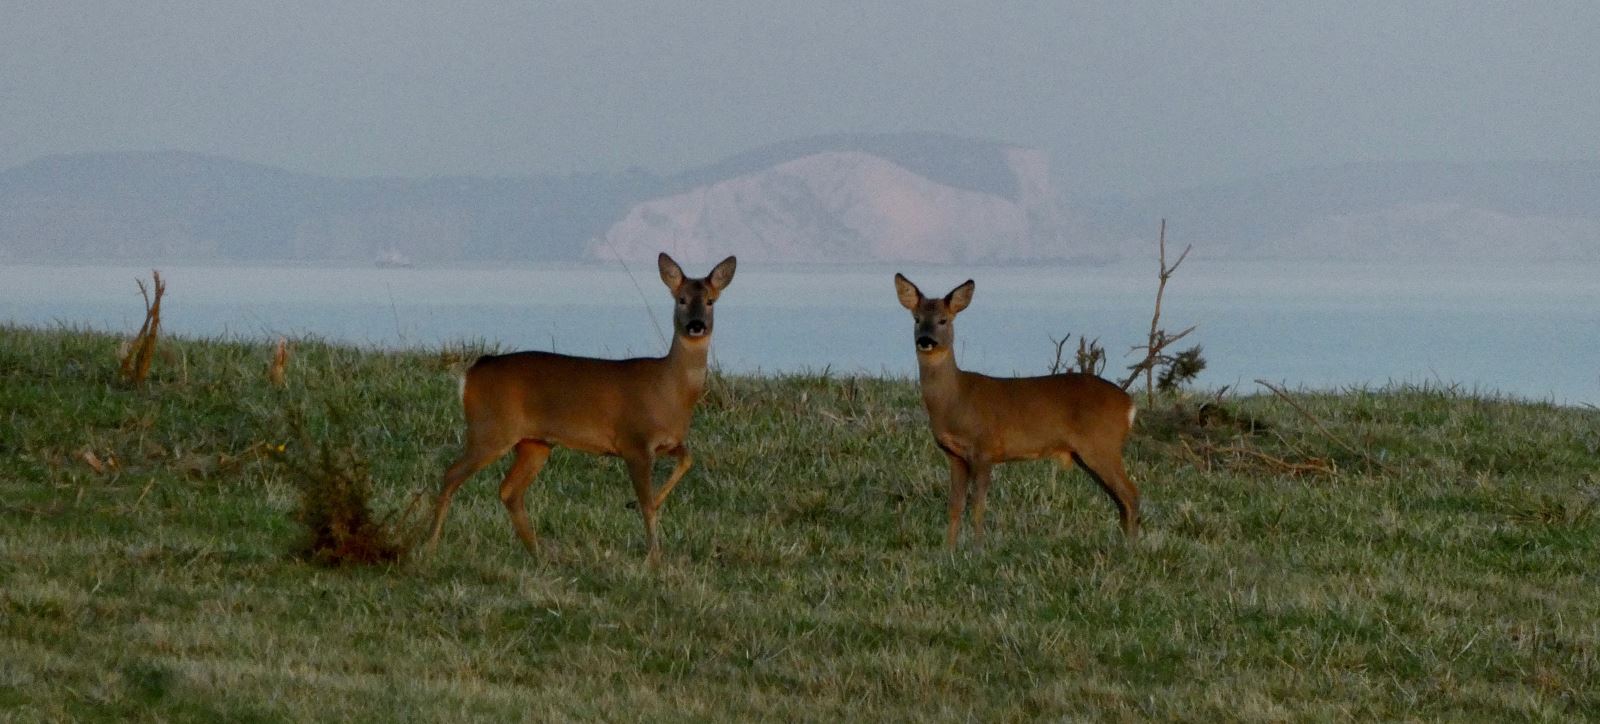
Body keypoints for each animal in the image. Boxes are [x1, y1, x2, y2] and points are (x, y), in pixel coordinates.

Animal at [432, 256, 742, 567]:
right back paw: (427, 543)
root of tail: (471, 374)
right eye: (681, 299)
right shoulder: (634, 441)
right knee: (451, 474)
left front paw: (647, 513)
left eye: (711, 300)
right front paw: (654, 559)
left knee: (508, 491)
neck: (669, 389)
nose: (696, 325)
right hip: (490, 429)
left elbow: (687, 459)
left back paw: (538, 554)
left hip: (534, 443)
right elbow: (646, 504)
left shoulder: (666, 441)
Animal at [902, 273, 1139, 544]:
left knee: (1131, 495)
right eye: (917, 319)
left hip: (1102, 444)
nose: (925, 341)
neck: (956, 399)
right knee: (1120, 500)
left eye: (943, 319)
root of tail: (1129, 405)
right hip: (1089, 453)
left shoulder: (985, 448)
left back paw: (1132, 547)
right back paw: (1123, 543)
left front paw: (977, 548)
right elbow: (955, 505)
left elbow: (978, 504)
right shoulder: (955, 455)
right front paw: (948, 549)